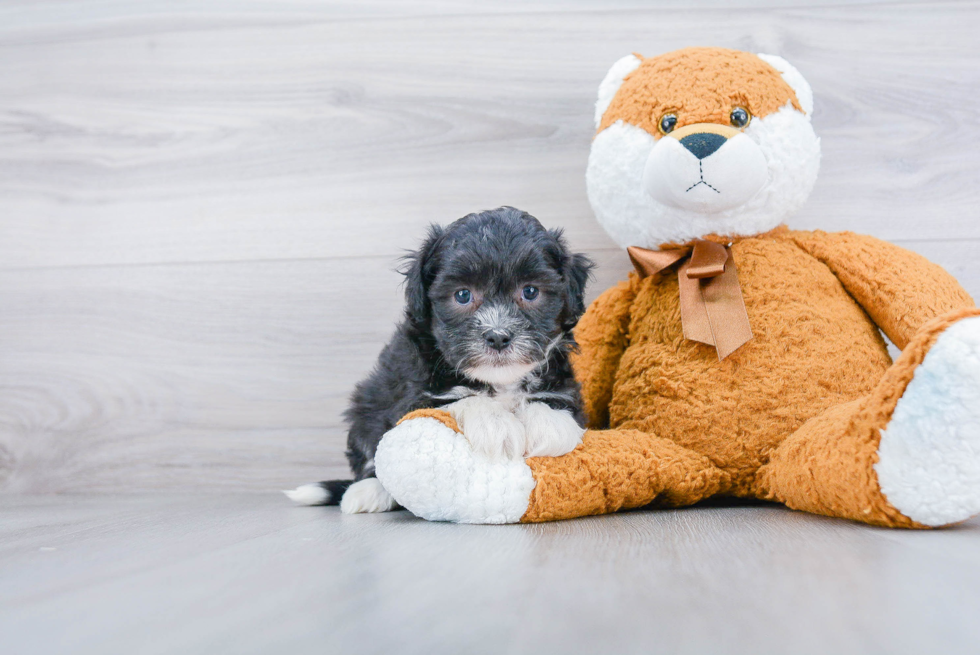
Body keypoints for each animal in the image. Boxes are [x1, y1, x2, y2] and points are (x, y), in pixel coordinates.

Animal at [280, 208, 592, 516]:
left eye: (530, 291)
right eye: (462, 294)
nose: (498, 336)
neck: (498, 382)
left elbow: (555, 397)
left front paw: (550, 422)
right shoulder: (411, 394)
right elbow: (453, 399)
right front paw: (494, 422)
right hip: (366, 409)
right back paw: (367, 491)